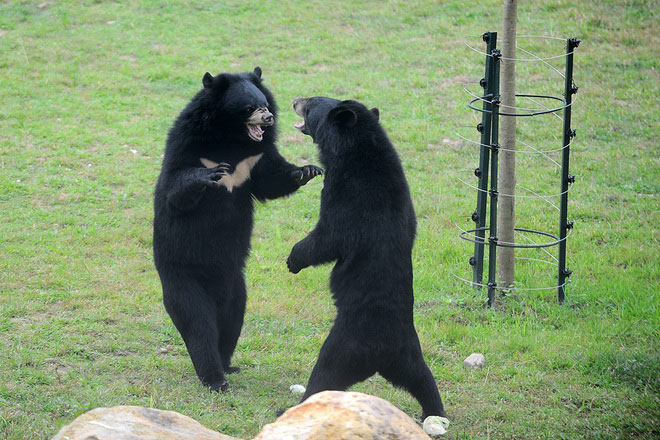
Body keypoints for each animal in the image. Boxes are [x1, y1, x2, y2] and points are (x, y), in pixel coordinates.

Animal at [152, 67, 322, 392]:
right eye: (249, 107)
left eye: (265, 104)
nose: (268, 118)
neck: (230, 138)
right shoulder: (188, 147)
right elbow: (177, 191)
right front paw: (208, 175)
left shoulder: (253, 160)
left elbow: (271, 179)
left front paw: (307, 170)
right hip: (181, 276)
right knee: (197, 323)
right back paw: (214, 377)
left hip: (236, 286)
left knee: (232, 320)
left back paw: (228, 364)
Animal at [286, 96, 446, 419]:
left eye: (311, 104)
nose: (296, 100)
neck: (358, 149)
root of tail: (382, 357)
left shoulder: (349, 196)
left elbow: (328, 237)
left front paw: (293, 260)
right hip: (412, 358)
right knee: (425, 381)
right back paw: (435, 414)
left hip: (341, 348)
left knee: (323, 374)